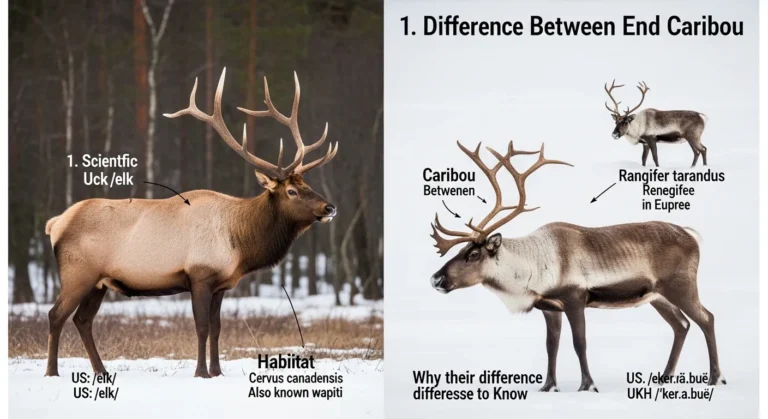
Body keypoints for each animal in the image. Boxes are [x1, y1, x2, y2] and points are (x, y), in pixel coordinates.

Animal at [43, 68, 338, 378]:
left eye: (307, 185)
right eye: (291, 191)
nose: (329, 207)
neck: (240, 244)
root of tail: (55, 223)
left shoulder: (221, 285)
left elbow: (218, 329)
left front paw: (218, 372)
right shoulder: (200, 275)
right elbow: (202, 328)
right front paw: (201, 373)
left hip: (99, 282)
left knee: (82, 320)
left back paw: (101, 370)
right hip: (78, 273)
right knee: (56, 315)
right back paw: (52, 372)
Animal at [429, 140, 724, 392]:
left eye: (474, 253)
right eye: (459, 250)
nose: (436, 279)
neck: (531, 268)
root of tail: (692, 236)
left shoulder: (575, 299)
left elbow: (579, 343)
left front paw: (588, 385)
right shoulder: (550, 308)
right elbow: (552, 346)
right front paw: (548, 386)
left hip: (681, 287)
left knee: (706, 318)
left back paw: (715, 378)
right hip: (657, 296)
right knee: (681, 325)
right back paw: (665, 378)